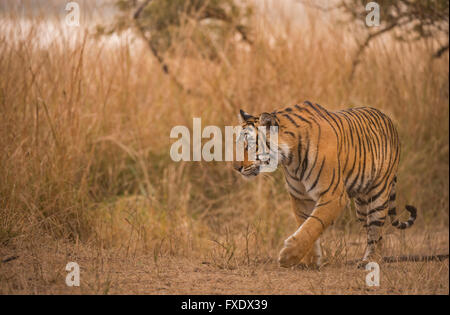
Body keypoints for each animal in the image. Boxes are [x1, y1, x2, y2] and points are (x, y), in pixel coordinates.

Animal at [234, 102, 416, 270]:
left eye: (250, 145)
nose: (236, 168)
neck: (290, 159)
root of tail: (387, 118)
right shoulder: (301, 197)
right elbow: (305, 225)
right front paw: (309, 262)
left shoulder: (334, 195)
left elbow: (313, 225)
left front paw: (288, 257)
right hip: (362, 205)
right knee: (376, 235)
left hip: (378, 193)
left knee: (375, 230)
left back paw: (370, 261)